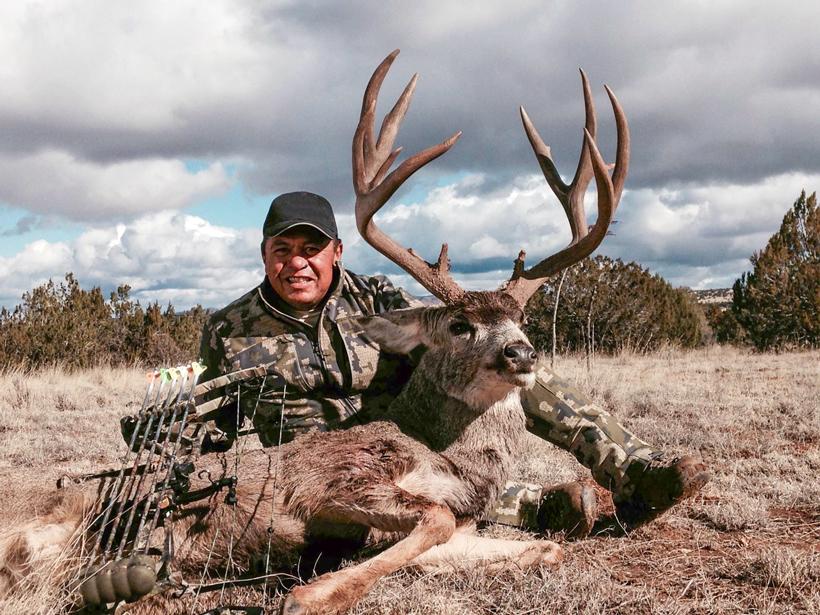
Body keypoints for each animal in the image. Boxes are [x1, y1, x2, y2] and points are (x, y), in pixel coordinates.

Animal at [0, 49, 628, 615]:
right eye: (459, 324)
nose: (522, 353)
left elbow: (535, 547)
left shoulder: (446, 526)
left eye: (521, 321)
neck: (448, 458)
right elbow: (435, 516)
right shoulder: (338, 480)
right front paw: (309, 596)